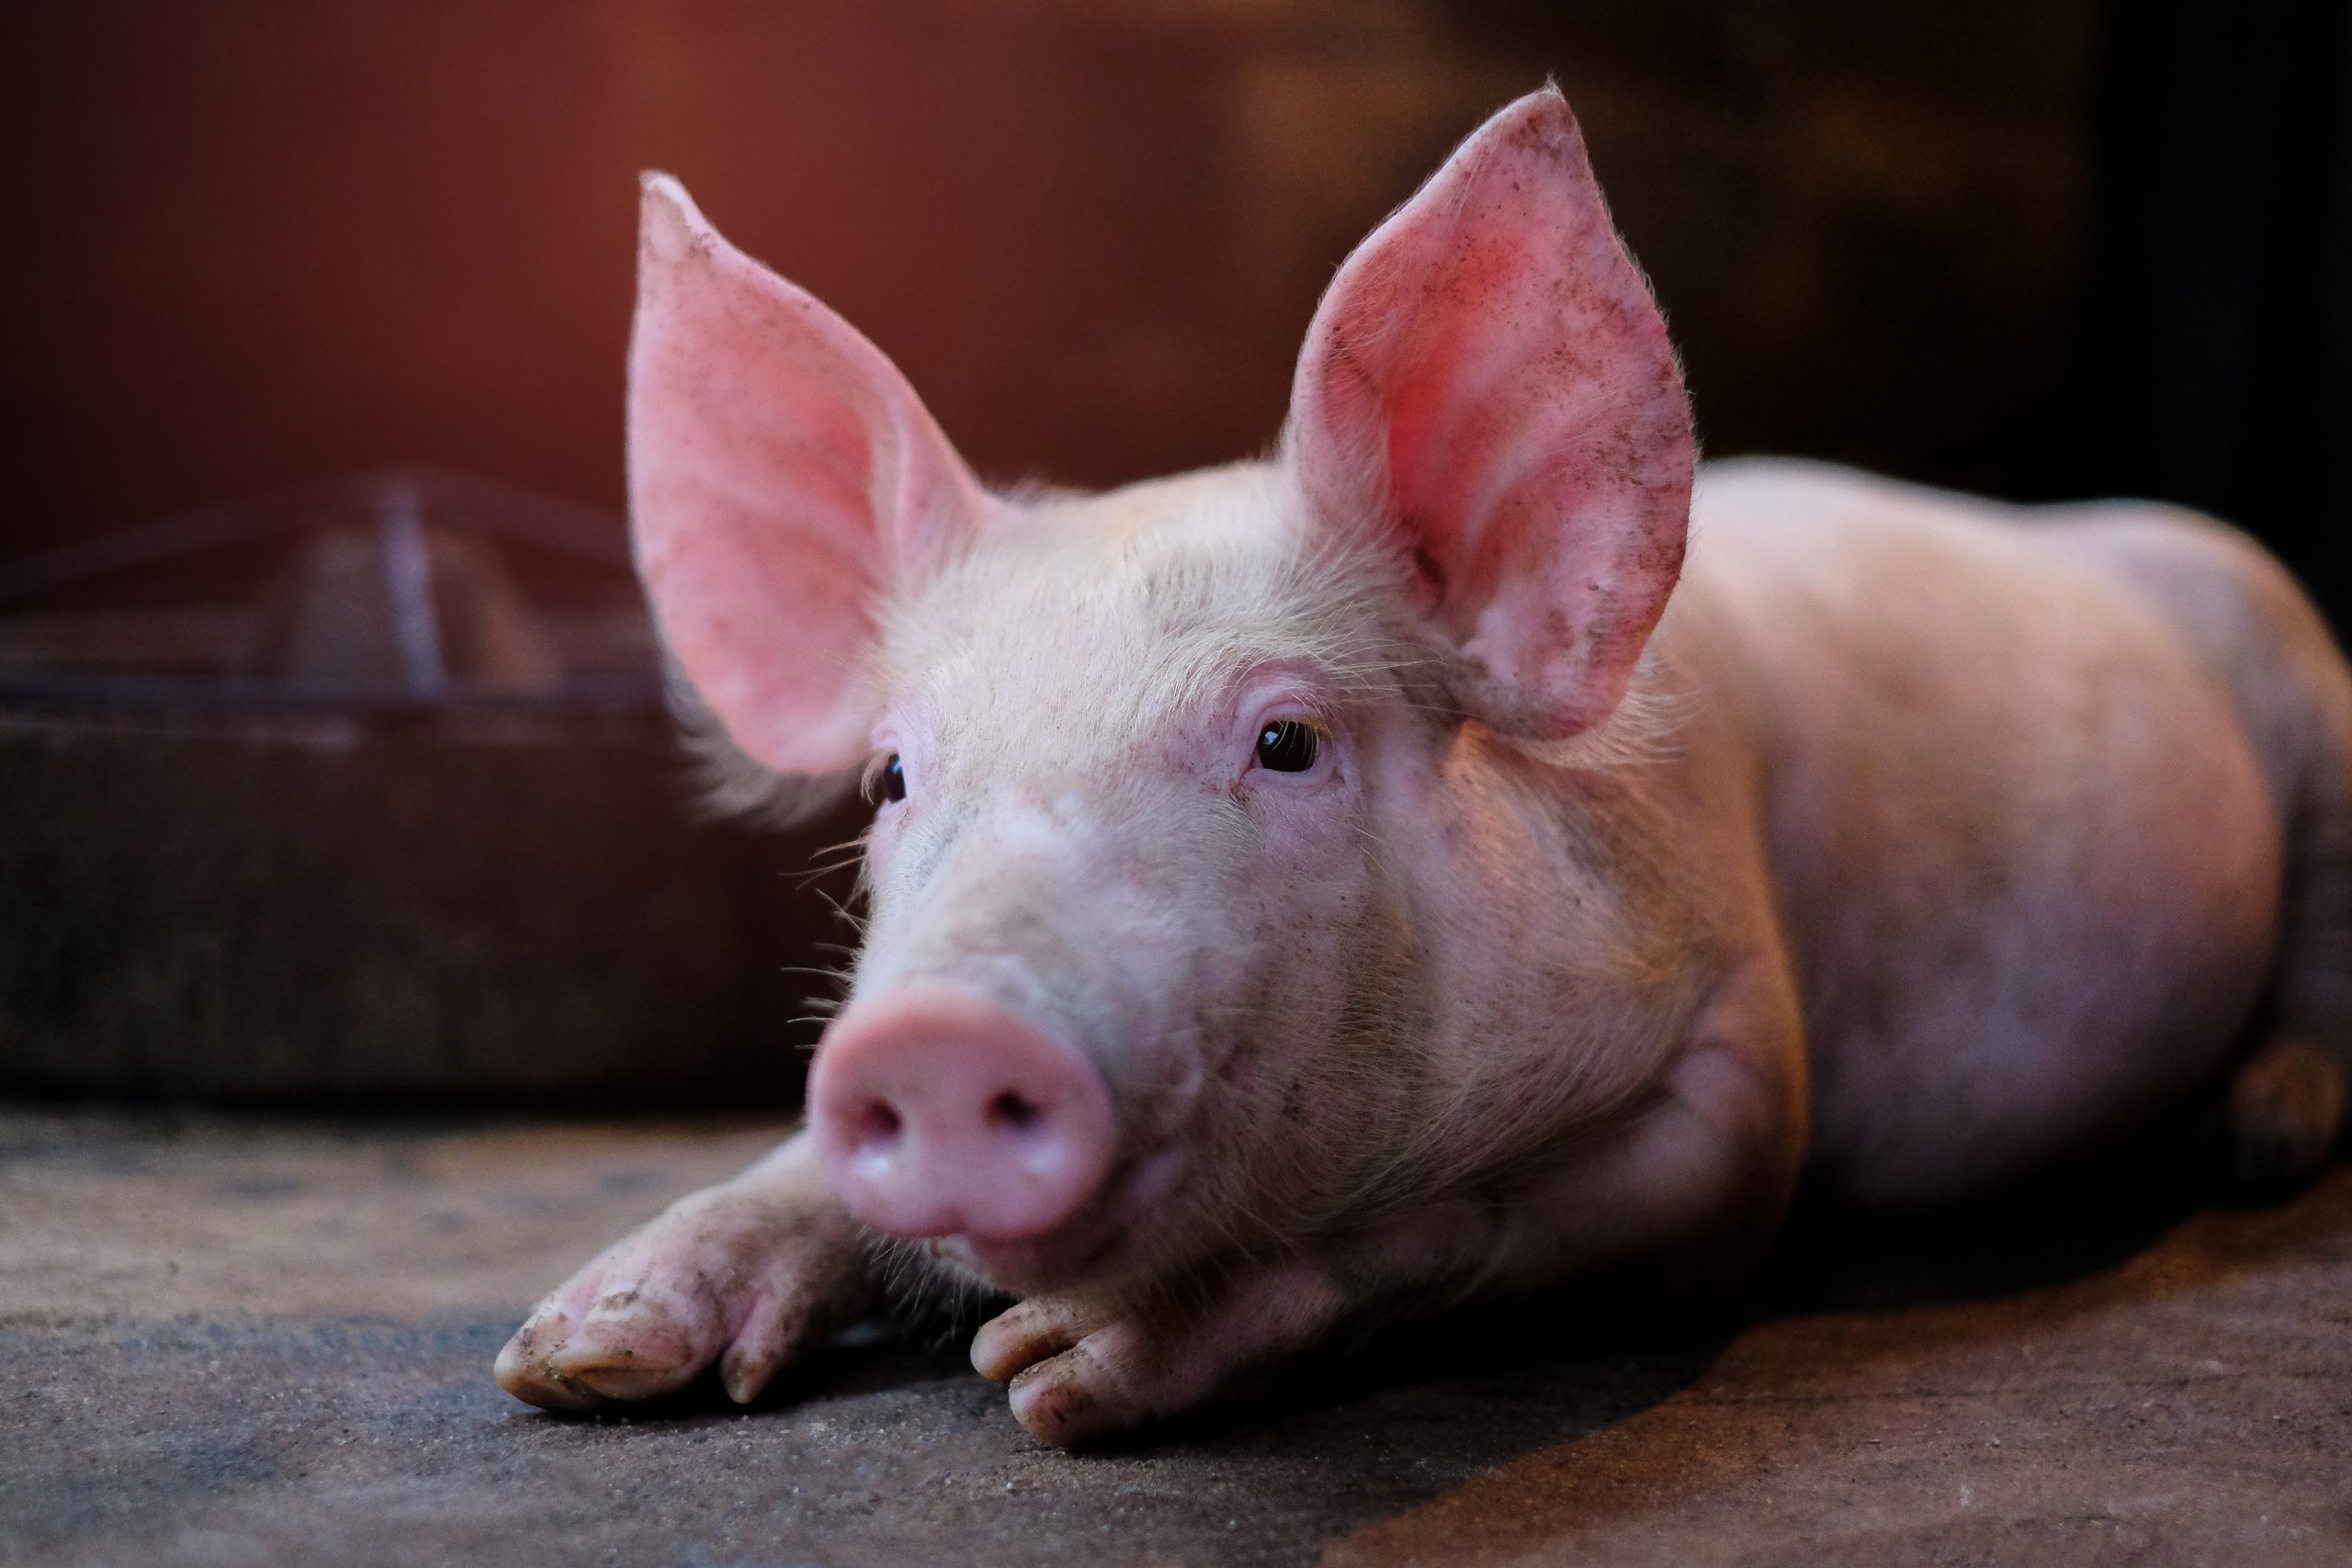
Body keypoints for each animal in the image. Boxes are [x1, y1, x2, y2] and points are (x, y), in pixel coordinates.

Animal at [495, 87, 2352, 1446]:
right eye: (890, 776)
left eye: (1285, 740)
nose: (946, 1035)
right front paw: (575, 1352)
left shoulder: (1743, 1055)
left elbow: (1477, 1226)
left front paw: (1047, 1370)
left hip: (2314, 706)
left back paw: (2252, 1141)